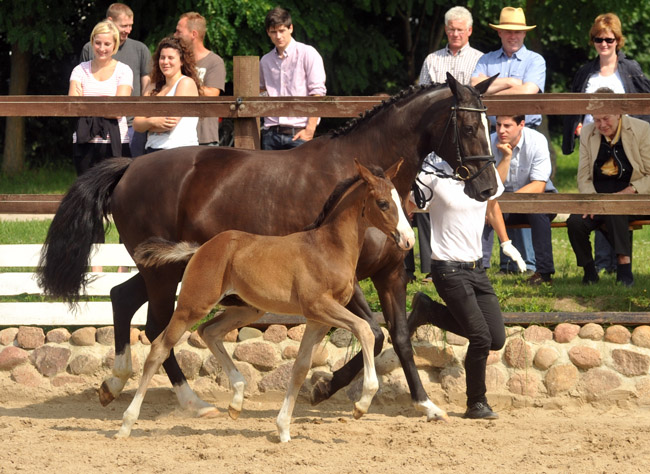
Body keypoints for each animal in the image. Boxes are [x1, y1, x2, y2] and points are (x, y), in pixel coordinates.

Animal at [114, 161, 412, 442]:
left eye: (401, 200)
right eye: (383, 203)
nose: (408, 240)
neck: (329, 248)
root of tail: (200, 248)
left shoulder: (318, 320)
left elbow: (300, 368)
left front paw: (283, 430)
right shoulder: (319, 306)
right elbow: (365, 330)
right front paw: (362, 404)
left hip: (248, 309)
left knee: (208, 331)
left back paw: (236, 400)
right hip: (193, 304)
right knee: (160, 348)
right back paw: (126, 424)